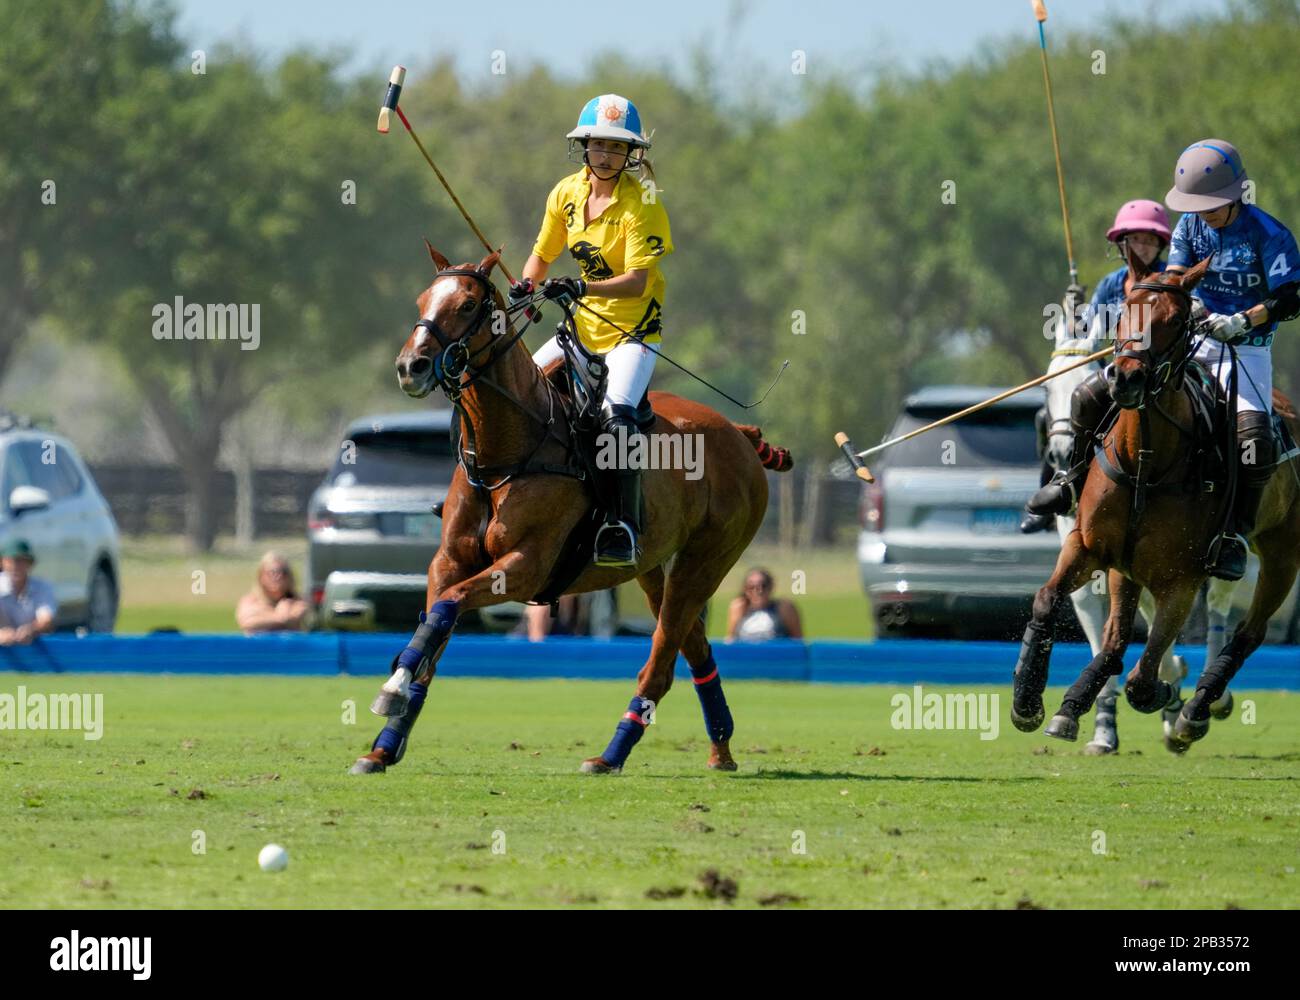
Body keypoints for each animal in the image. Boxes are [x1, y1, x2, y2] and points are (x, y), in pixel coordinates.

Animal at [348, 245, 790, 775]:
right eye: (422, 299)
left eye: (468, 304)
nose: (410, 366)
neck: (506, 451)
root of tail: (738, 434)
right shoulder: (448, 561)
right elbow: (433, 628)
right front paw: (383, 743)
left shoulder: (526, 567)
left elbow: (449, 606)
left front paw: (389, 693)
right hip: (654, 569)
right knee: (695, 649)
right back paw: (720, 749)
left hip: (705, 562)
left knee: (661, 665)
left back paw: (610, 756)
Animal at [1013, 253, 1300, 743]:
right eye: (1124, 314)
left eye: (1176, 320)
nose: (1126, 379)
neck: (1144, 460)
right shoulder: (1091, 548)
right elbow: (1056, 606)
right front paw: (1032, 702)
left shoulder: (1180, 579)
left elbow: (1141, 679)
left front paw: (1168, 694)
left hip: (1281, 554)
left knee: (1246, 629)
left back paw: (1199, 708)